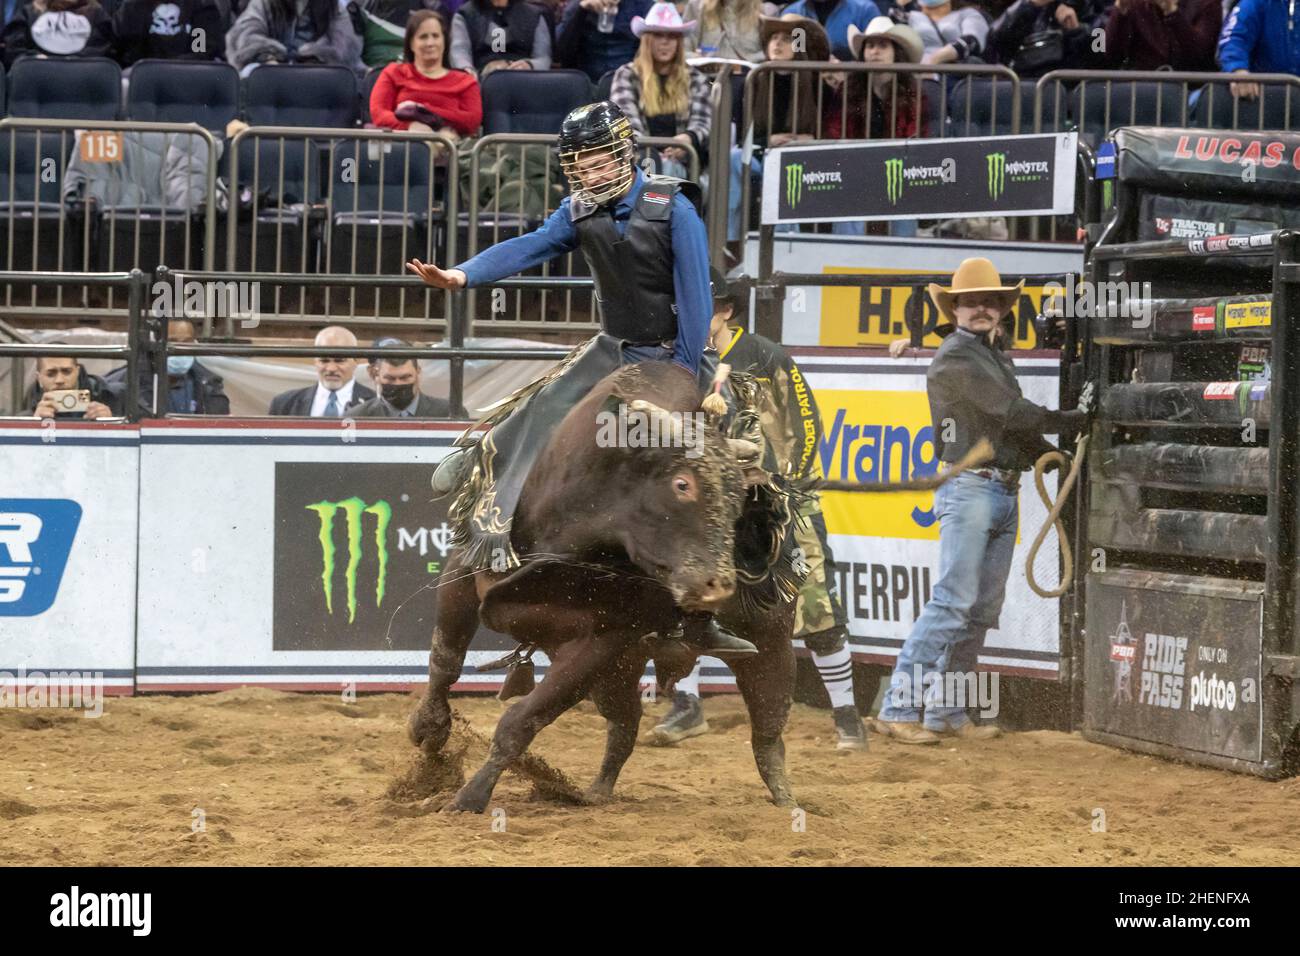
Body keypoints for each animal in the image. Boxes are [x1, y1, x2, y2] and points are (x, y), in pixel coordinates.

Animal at [408, 361, 800, 811]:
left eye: (739, 498)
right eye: (682, 484)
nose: (716, 586)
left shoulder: (605, 639)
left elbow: (522, 720)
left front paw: (468, 798)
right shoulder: (467, 568)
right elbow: (446, 659)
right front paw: (430, 731)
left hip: (768, 642)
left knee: (767, 724)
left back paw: (785, 797)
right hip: (621, 671)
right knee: (625, 724)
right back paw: (596, 792)